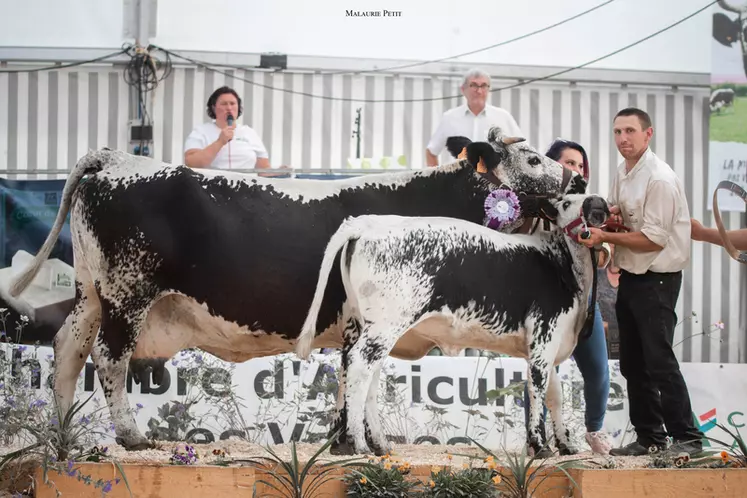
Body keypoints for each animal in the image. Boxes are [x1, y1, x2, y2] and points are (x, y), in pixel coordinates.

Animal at [296, 194, 612, 456]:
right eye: (567, 202)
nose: (598, 203)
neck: (563, 266)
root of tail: (367, 223)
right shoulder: (544, 339)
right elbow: (537, 390)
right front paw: (540, 446)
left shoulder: (549, 347)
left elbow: (555, 396)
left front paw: (567, 445)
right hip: (384, 327)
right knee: (360, 368)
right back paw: (359, 444)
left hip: (371, 327)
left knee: (364, 374)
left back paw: (380, 444)